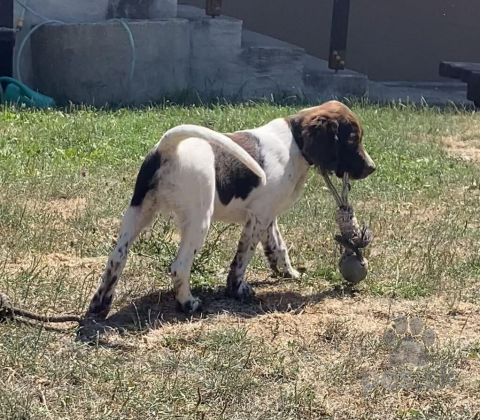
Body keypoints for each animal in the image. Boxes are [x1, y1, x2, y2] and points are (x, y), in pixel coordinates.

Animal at [86, 101, 376, 318]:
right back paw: (188, 303)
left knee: (116, 257)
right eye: (353, 139)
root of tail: (170, 146)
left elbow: (278, 247)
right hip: (198, 220)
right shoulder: (258, 218)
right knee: (179, 266)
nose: (372, 168)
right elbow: (243, 257)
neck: (294, 143)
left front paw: (288, 273)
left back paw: (100, 304)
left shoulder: (267, 215)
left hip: (138, 211)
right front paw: (237, 290)